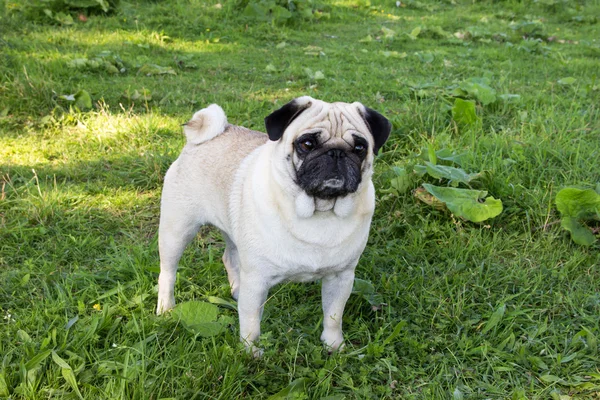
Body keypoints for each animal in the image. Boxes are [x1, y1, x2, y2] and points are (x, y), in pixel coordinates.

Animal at [156, 97, 390, 354]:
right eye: (307, 144)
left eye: (359, 148)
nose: (336, 153)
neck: (319, 210)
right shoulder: (257, 278)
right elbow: (251, 322)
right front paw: (251, 353)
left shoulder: (341, 277)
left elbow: (333, 315)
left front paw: (334, 346)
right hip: (177, 231)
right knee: (168, 273)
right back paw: (165, 308)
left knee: (230, 257)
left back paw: (237, 290)